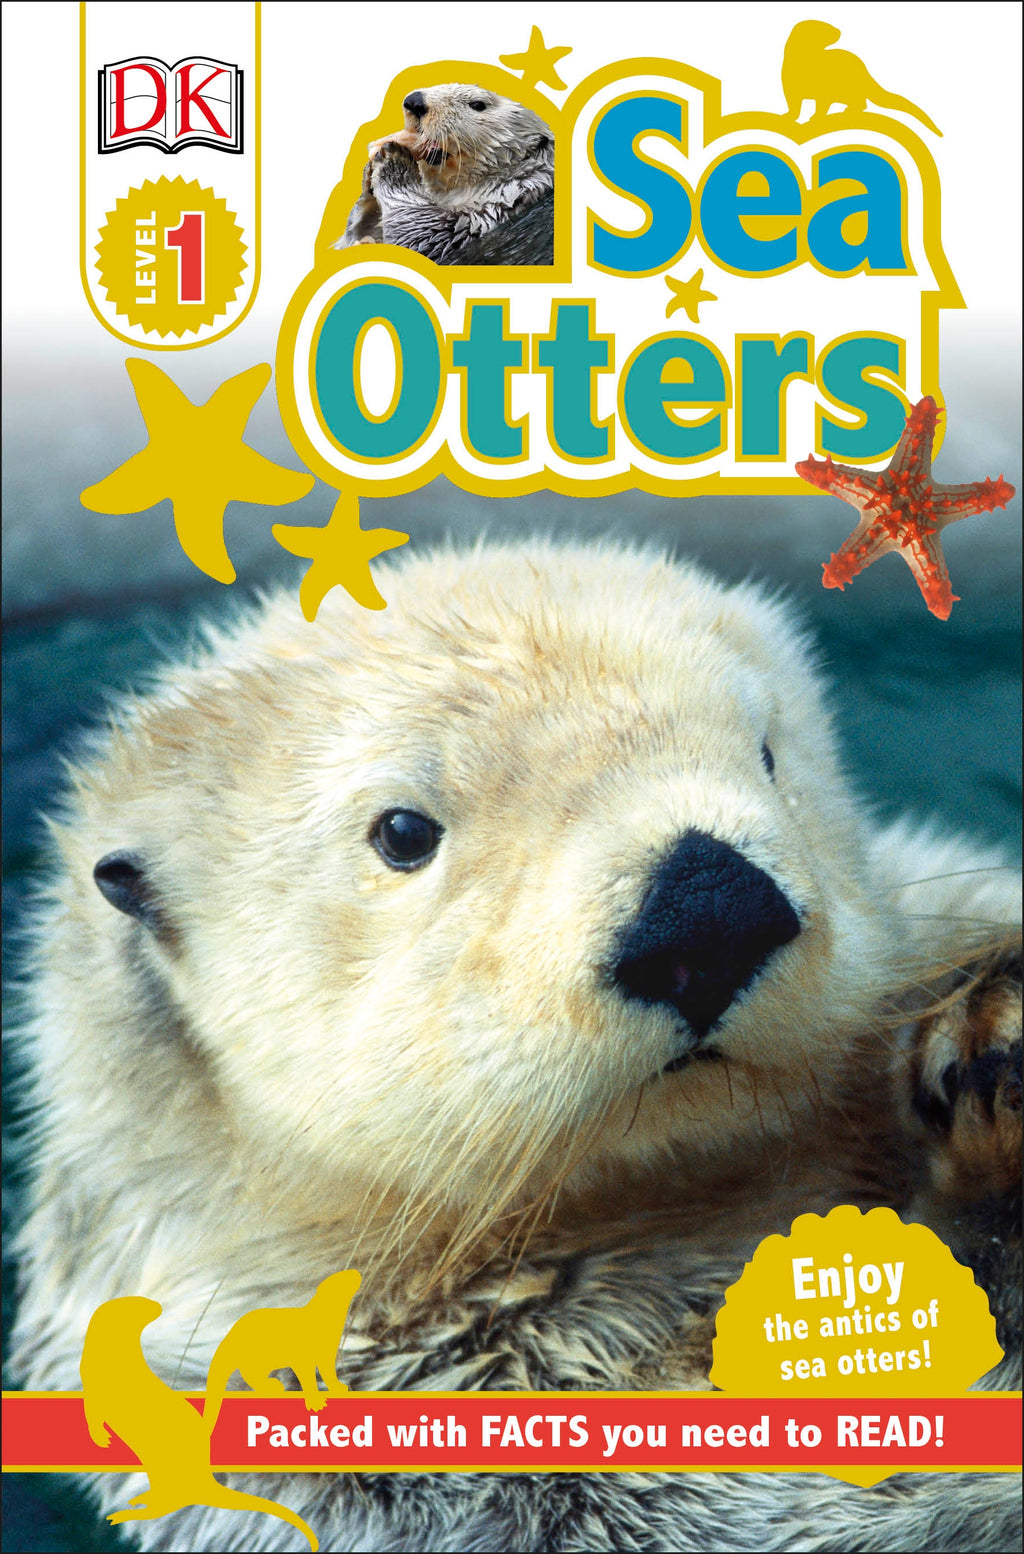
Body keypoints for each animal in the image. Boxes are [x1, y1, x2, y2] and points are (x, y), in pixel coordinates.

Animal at [335, 83, 554, 264]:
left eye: (477, 104)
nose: (414, 101)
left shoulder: (491, 212)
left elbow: (421, 232)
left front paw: (393, 159)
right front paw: (368, 175)